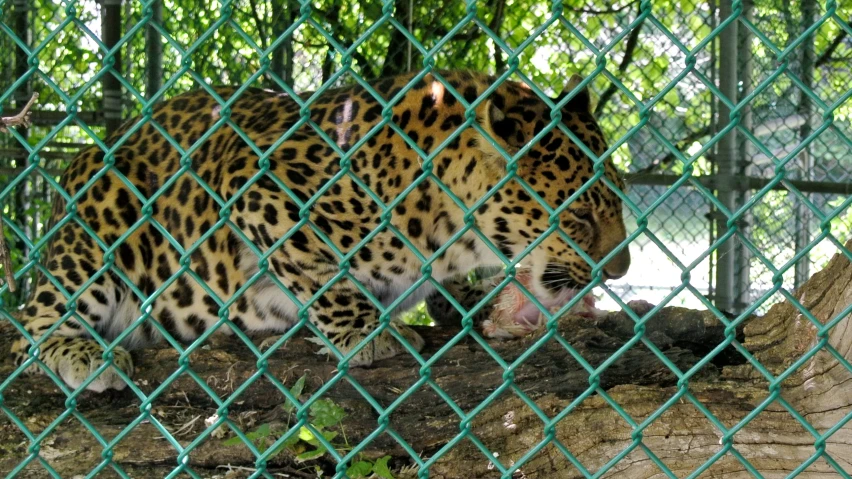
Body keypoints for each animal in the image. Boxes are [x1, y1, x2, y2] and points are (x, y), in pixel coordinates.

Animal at [10, 71, 628, 394]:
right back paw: (83, 353)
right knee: (29, 328)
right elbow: (320, 274)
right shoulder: (256, 185)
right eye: (579, 216)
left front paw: (470, 305)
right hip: (103, 213)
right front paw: (366, 332)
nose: (619, 270)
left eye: (618, 201)